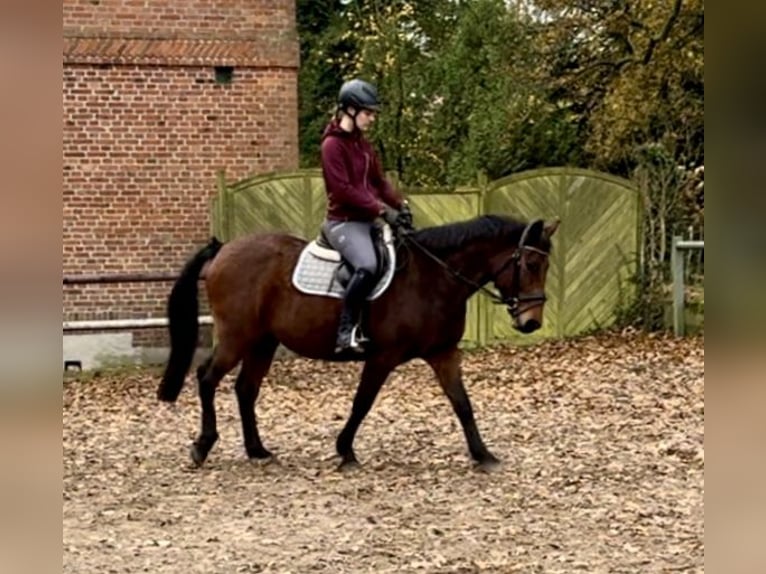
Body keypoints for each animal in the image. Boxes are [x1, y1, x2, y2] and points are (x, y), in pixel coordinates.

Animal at [159, 216, 560, 472]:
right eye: (529, 263)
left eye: (545, 265)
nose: (531, 322)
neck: (433, 278)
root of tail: (224, 249)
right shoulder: (383, 356)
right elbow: (362, 403)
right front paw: (345, 451)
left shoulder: (443, 353)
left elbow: (462, 404)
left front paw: (483, 455)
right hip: (237, 336)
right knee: (207, 378)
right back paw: (202, 446)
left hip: (262, 342)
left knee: (246, 389)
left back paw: (257, 450)